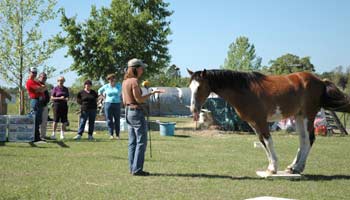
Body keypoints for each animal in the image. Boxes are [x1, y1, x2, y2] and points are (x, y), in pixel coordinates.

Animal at [187, 68, 350, 173]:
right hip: (298, 116)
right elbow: (263, 142)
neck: (245, 90)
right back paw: (294, 167)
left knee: (309, 139)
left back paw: (297, 167)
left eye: (200, 87)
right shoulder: (253, 123)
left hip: (307, 116)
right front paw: (271, 166)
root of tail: (320, 81)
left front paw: (273, 168)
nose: (193, 109)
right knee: (303, 140)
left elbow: (268, 141)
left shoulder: (261, 121)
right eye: (190, 86)